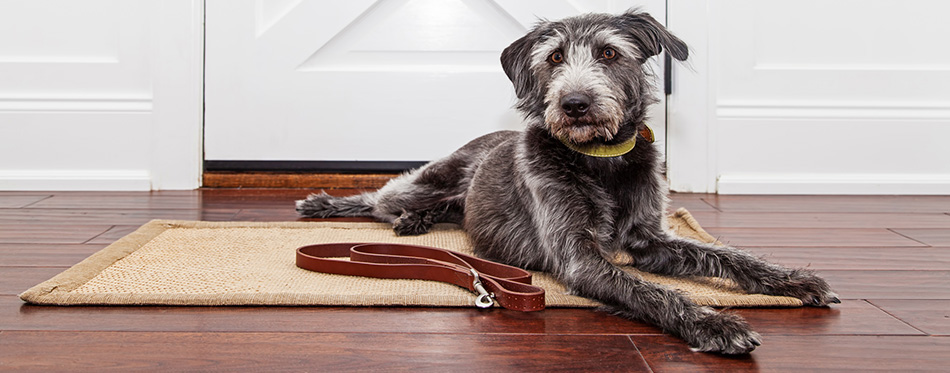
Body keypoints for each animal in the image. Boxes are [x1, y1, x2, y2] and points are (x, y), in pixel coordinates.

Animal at [298, 10, 840, 354]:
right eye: (555, 58)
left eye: (609, 53)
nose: (575, 104)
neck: (600, 159)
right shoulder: (581, 256)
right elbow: (655, 293)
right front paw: (717, 323)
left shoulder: (650, 239)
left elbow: (727, 256)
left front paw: (793, 280)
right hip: (427, 179)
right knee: (380, 197)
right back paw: (330, 205)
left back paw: (417, 222)